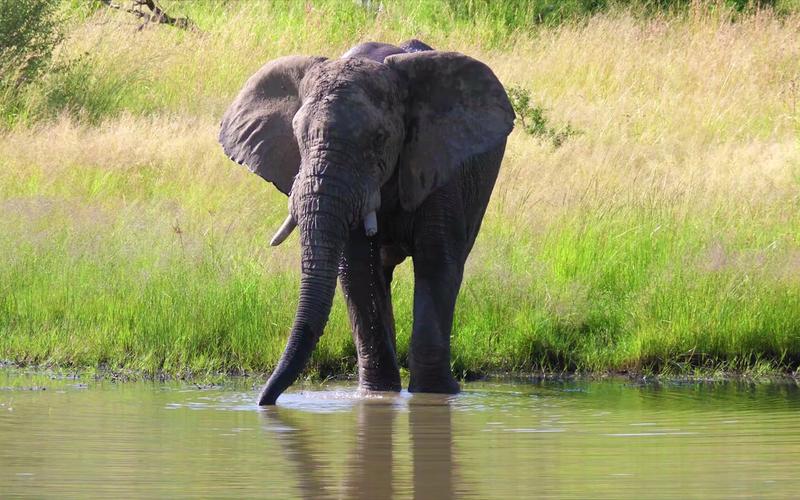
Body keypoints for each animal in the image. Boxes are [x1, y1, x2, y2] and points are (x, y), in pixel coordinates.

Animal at [219, 39, 514, 405]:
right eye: (297, 135)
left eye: (379, 138)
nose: (263, 401)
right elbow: (359, 270)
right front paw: (378, 396)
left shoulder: (436, 166)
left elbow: (436, 263)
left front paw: (434, 395)